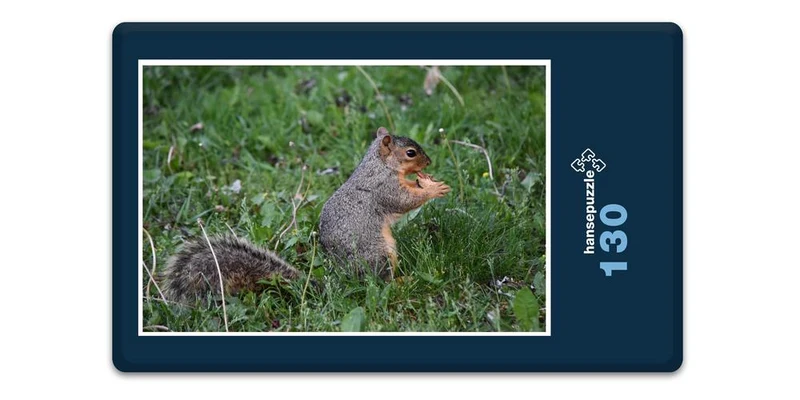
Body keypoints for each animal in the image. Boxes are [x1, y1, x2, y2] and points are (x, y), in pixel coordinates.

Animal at [161, 127, 449, 303]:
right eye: (410, 153)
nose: (429, 162)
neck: (380, 165)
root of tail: (343, 279)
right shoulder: (384, 188)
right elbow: (404, 201)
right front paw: (433, 188)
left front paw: (427, 180)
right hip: (378, 254)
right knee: (379, 282)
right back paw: (402, 280)